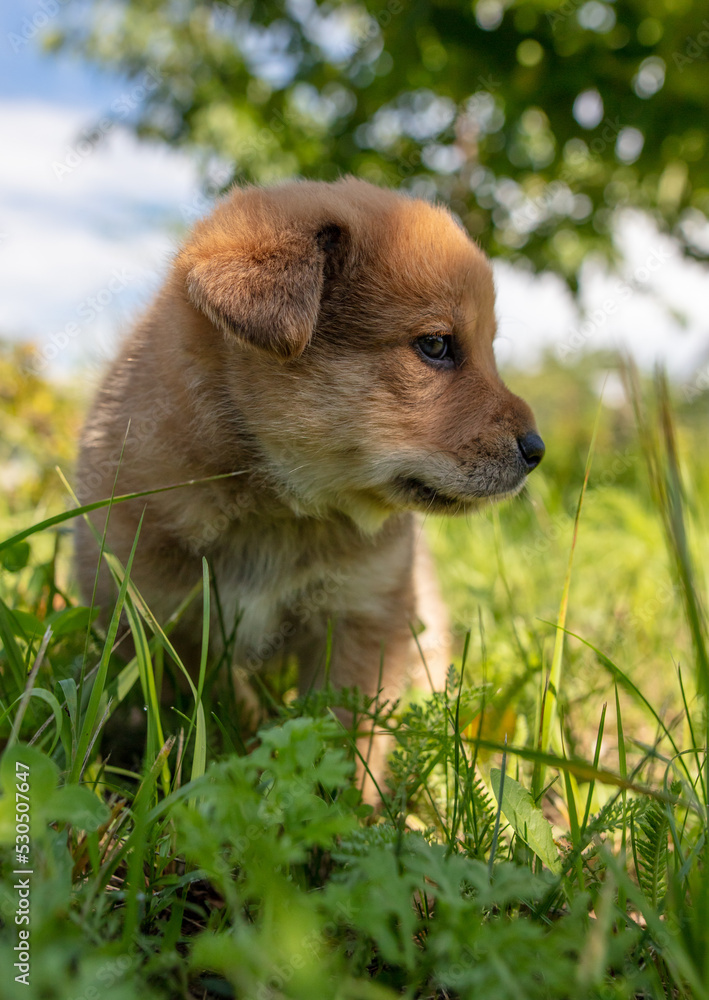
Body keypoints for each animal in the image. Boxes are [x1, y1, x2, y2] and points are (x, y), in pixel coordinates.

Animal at [75, 177, 544, 798]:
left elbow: (348, 736)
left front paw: (351, 807)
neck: (276, 510)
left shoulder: (362, 616)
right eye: (436, 345)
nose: (537, 450)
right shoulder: (157, 615)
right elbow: (206, 707)